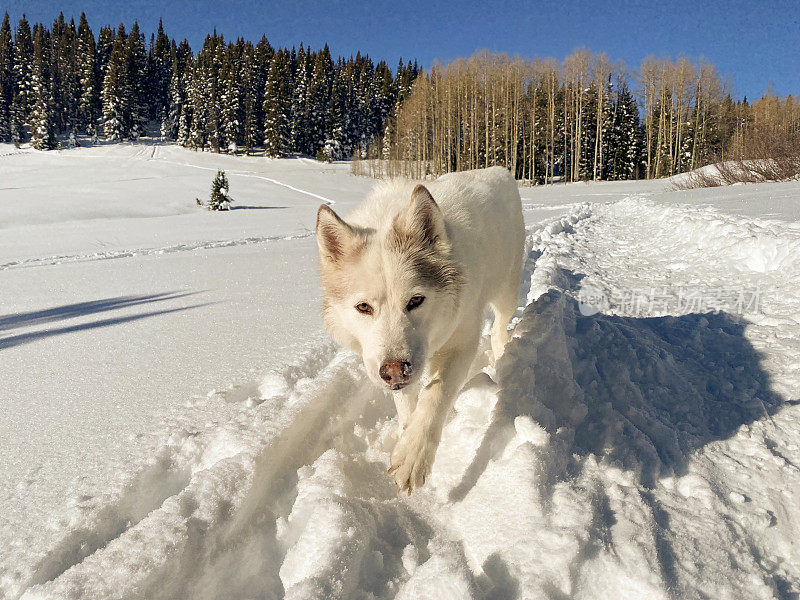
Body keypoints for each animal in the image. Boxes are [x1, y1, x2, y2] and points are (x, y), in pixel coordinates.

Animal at [316, 168, 528, 492]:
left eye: (416, 300)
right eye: (364, 307)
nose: (393, 372)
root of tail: (497, 170)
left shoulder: (461, 343)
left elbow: (435, 397)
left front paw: (413, 456)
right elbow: (408, 404)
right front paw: (406, 433)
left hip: (507, 290)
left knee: (499, 327)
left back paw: (502, 352)